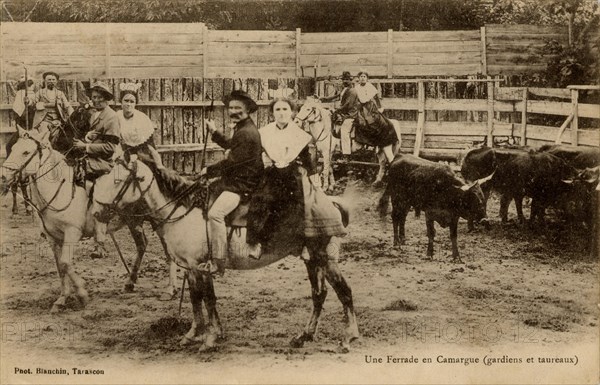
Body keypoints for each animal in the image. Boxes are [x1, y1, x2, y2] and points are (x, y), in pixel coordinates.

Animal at [91, 158, 358, 352]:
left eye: (117, 181)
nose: (96, 213)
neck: (182, 210)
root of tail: (331, 202)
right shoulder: (191, 268)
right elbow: (197, 299)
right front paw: (195, 334)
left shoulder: (200, 266)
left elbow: (208, 299)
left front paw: (209, 339)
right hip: (311, 259)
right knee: (319, 294)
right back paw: (304, 336)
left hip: (324, 258)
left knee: (344, 292)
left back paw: (348, 338)